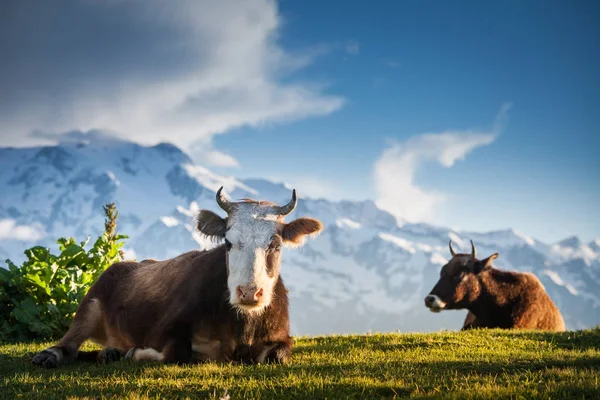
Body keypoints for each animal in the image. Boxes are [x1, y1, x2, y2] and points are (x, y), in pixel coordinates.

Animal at [32, 188, 324, 368]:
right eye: (228, 242)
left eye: (275, 244)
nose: (249, 292)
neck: (242, 328)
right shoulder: (166, 327)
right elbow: (177, 353)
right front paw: (137, 353)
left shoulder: (280, 335)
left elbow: (279, 355)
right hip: (90, 305)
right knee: (69, 344)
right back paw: (50, 356)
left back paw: (110, 352)